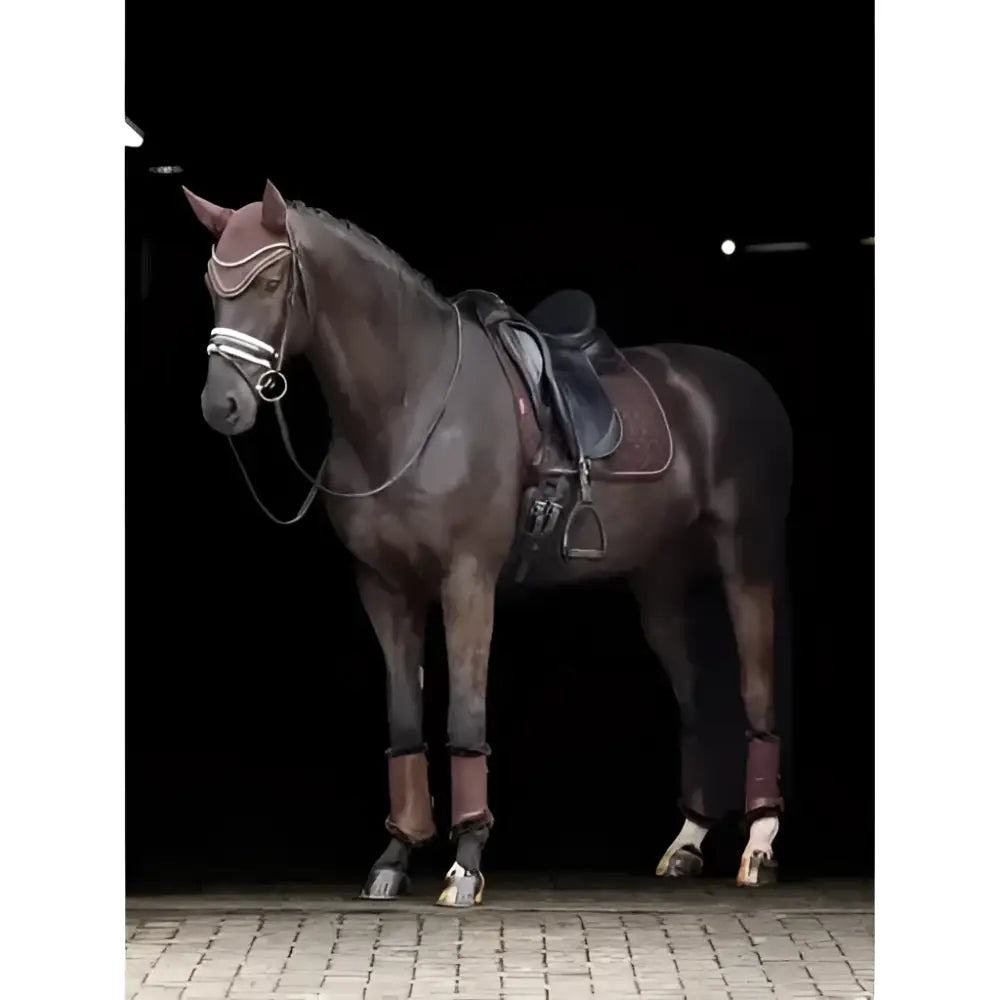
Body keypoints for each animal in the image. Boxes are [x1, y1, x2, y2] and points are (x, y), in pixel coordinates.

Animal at [182, 179, 793, 906]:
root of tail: (746, 383)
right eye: (213, 283)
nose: (221, 405)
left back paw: (759, 844)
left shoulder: (467, 578)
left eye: (273, 279)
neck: (412, 404)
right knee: (699, 696)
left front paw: (466, 861)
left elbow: (464, 718)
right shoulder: (384, 589)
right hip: (663, 583)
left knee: (756, 686)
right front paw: (395, 855)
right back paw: (687, 842)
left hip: (747, 557)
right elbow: (405, 722)